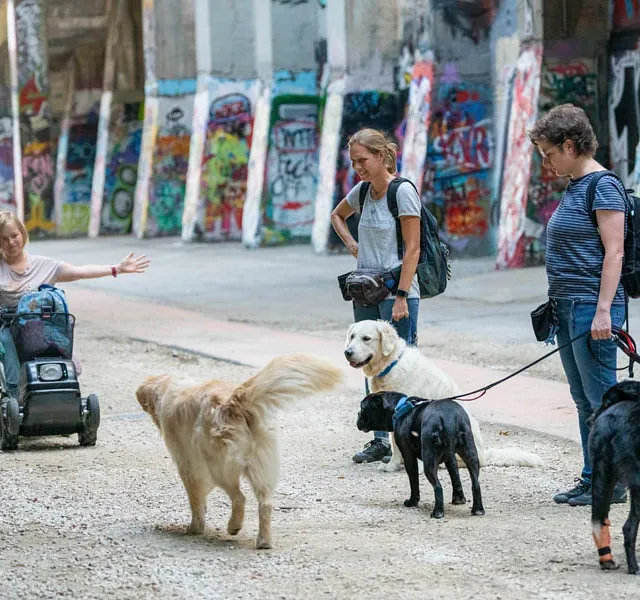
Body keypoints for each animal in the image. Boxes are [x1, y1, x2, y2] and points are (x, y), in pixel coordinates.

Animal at [356, 392, 484, 516]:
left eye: (362, 408)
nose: (357, 414)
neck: (398, 407)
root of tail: (449, 419)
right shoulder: (450, 458)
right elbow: (455, 475)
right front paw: (458, 499)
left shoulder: (408, 456)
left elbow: (414, 481)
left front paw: (412, 502)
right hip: (471, 456)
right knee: (475, 484)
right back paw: (478, 510)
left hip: (429, 461)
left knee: (438, 486)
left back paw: (437, 512)